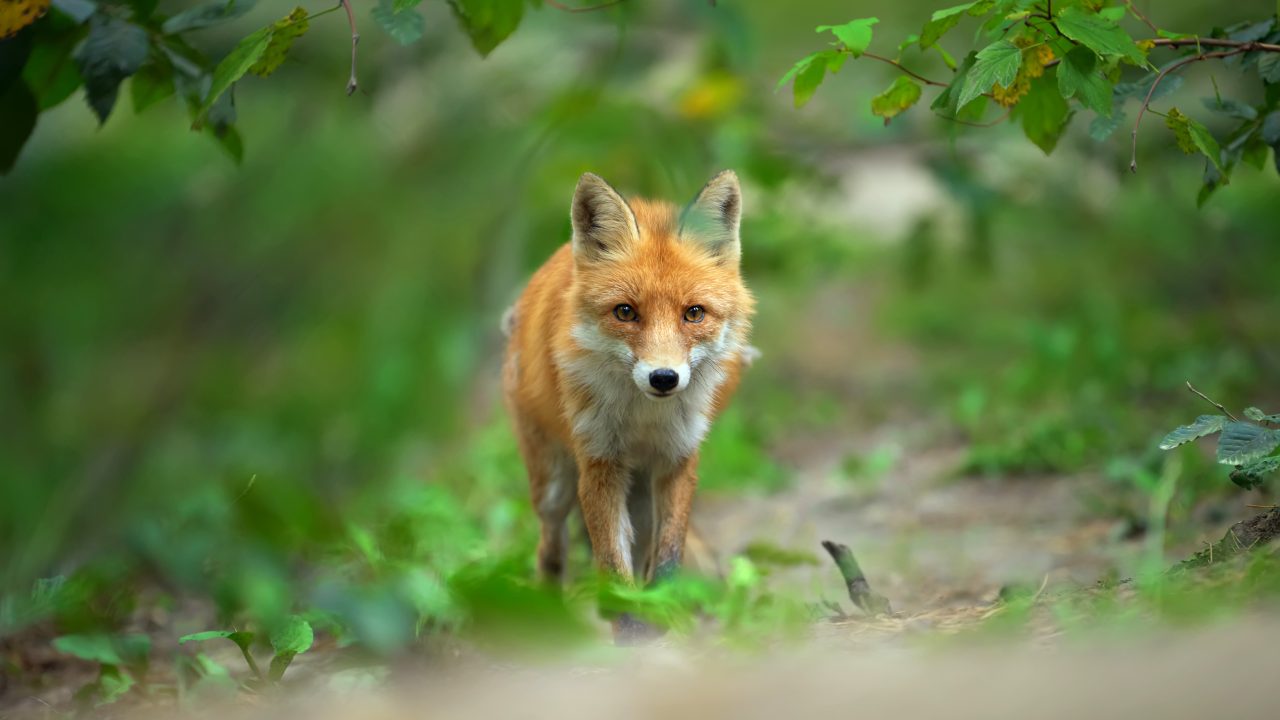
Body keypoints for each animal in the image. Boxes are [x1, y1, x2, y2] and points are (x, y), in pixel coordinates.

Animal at [501, 170, 755, 640]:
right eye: (625, 312)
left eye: (694, 313)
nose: (664, 378)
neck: (644, 419)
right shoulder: (600, 463)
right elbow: (612, 565)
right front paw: (629, 630)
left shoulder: (677, 459)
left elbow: (668, 555)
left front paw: (661, 616)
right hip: (553, 485)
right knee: (551, 547)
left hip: (637, 491)